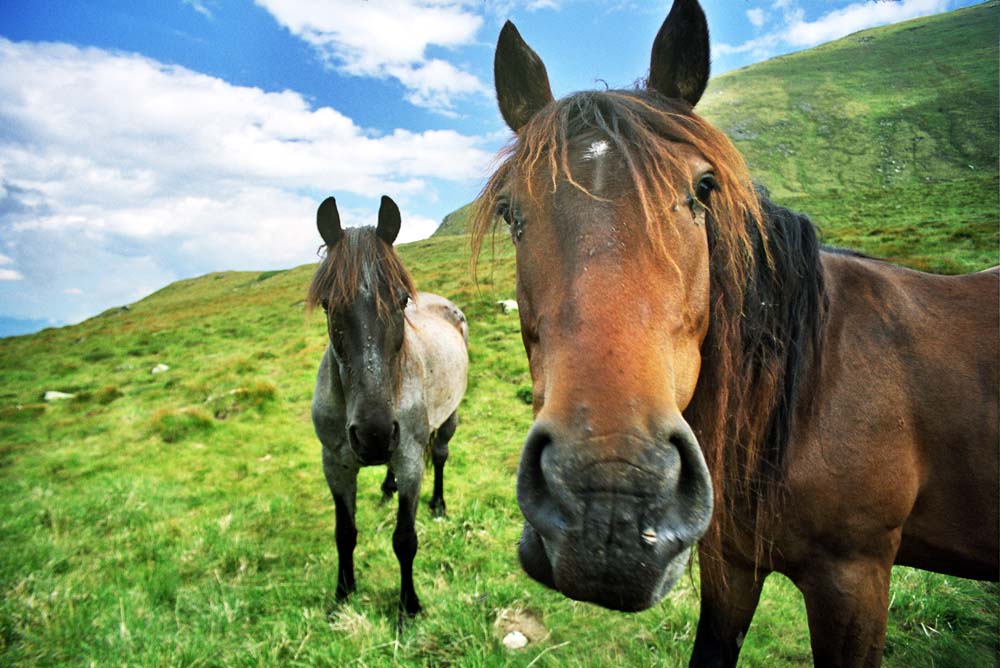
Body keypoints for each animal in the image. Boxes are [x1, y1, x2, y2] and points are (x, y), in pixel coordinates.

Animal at [306, 197, 466, 620]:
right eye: (328, 305)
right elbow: (344, 533)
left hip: (448, 419)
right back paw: (386, 487)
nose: (374, 433)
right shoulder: (335, 465)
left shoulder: (410, 461)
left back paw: (438, 504)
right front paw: (343, 594)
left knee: (440, 455)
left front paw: (408, 606)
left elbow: (405, 539)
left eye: (400, 300)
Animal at [474, 2, 1000, 664]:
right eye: (509, 211)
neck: (802, 394)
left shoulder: (856, 578)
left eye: (703, 188)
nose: (610, 500)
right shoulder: (729, 563)